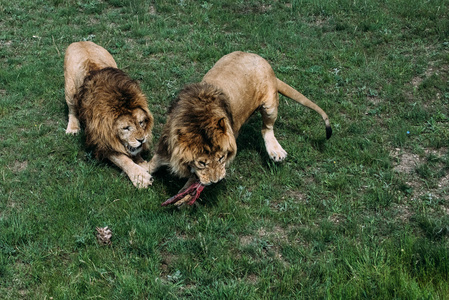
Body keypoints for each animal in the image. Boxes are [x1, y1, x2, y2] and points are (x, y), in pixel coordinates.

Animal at [63, 41, 154, 189]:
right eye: (126, 128)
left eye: (142, 123)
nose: (142, 139)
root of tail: (80, 41)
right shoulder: (101, 140)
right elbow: (123, 159)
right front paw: (140, 177)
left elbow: (135, 152)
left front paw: (142, 163)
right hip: (70, 89)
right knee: (72, 110)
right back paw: (73, 128)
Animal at [149, 51, 330, 206]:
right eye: (201, 162)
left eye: (221, 158)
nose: (216, 182)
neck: (199, 116)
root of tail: (266, 65)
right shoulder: (166, 146)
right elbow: (152, 164)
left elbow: (194, 180)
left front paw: (184, 195)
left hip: (270, 106)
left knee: (266, 128)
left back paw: (275, 151)